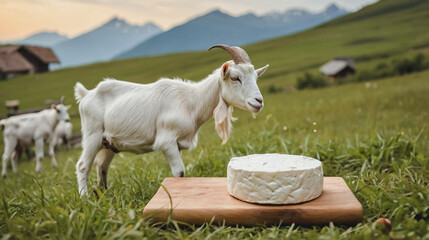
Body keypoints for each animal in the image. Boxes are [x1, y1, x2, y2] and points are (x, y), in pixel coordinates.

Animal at [73, 44, 268, 196]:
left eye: (256, 78)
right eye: (235, 78)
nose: (259, 101)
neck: (191, 102)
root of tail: (86, 94)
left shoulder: (178, 144)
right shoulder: (166, 141)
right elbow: (180, 172)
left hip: (109, 143)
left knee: (101, 166)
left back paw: (102, 194)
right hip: (92, 135)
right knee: (83, 165)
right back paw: (85, 198)